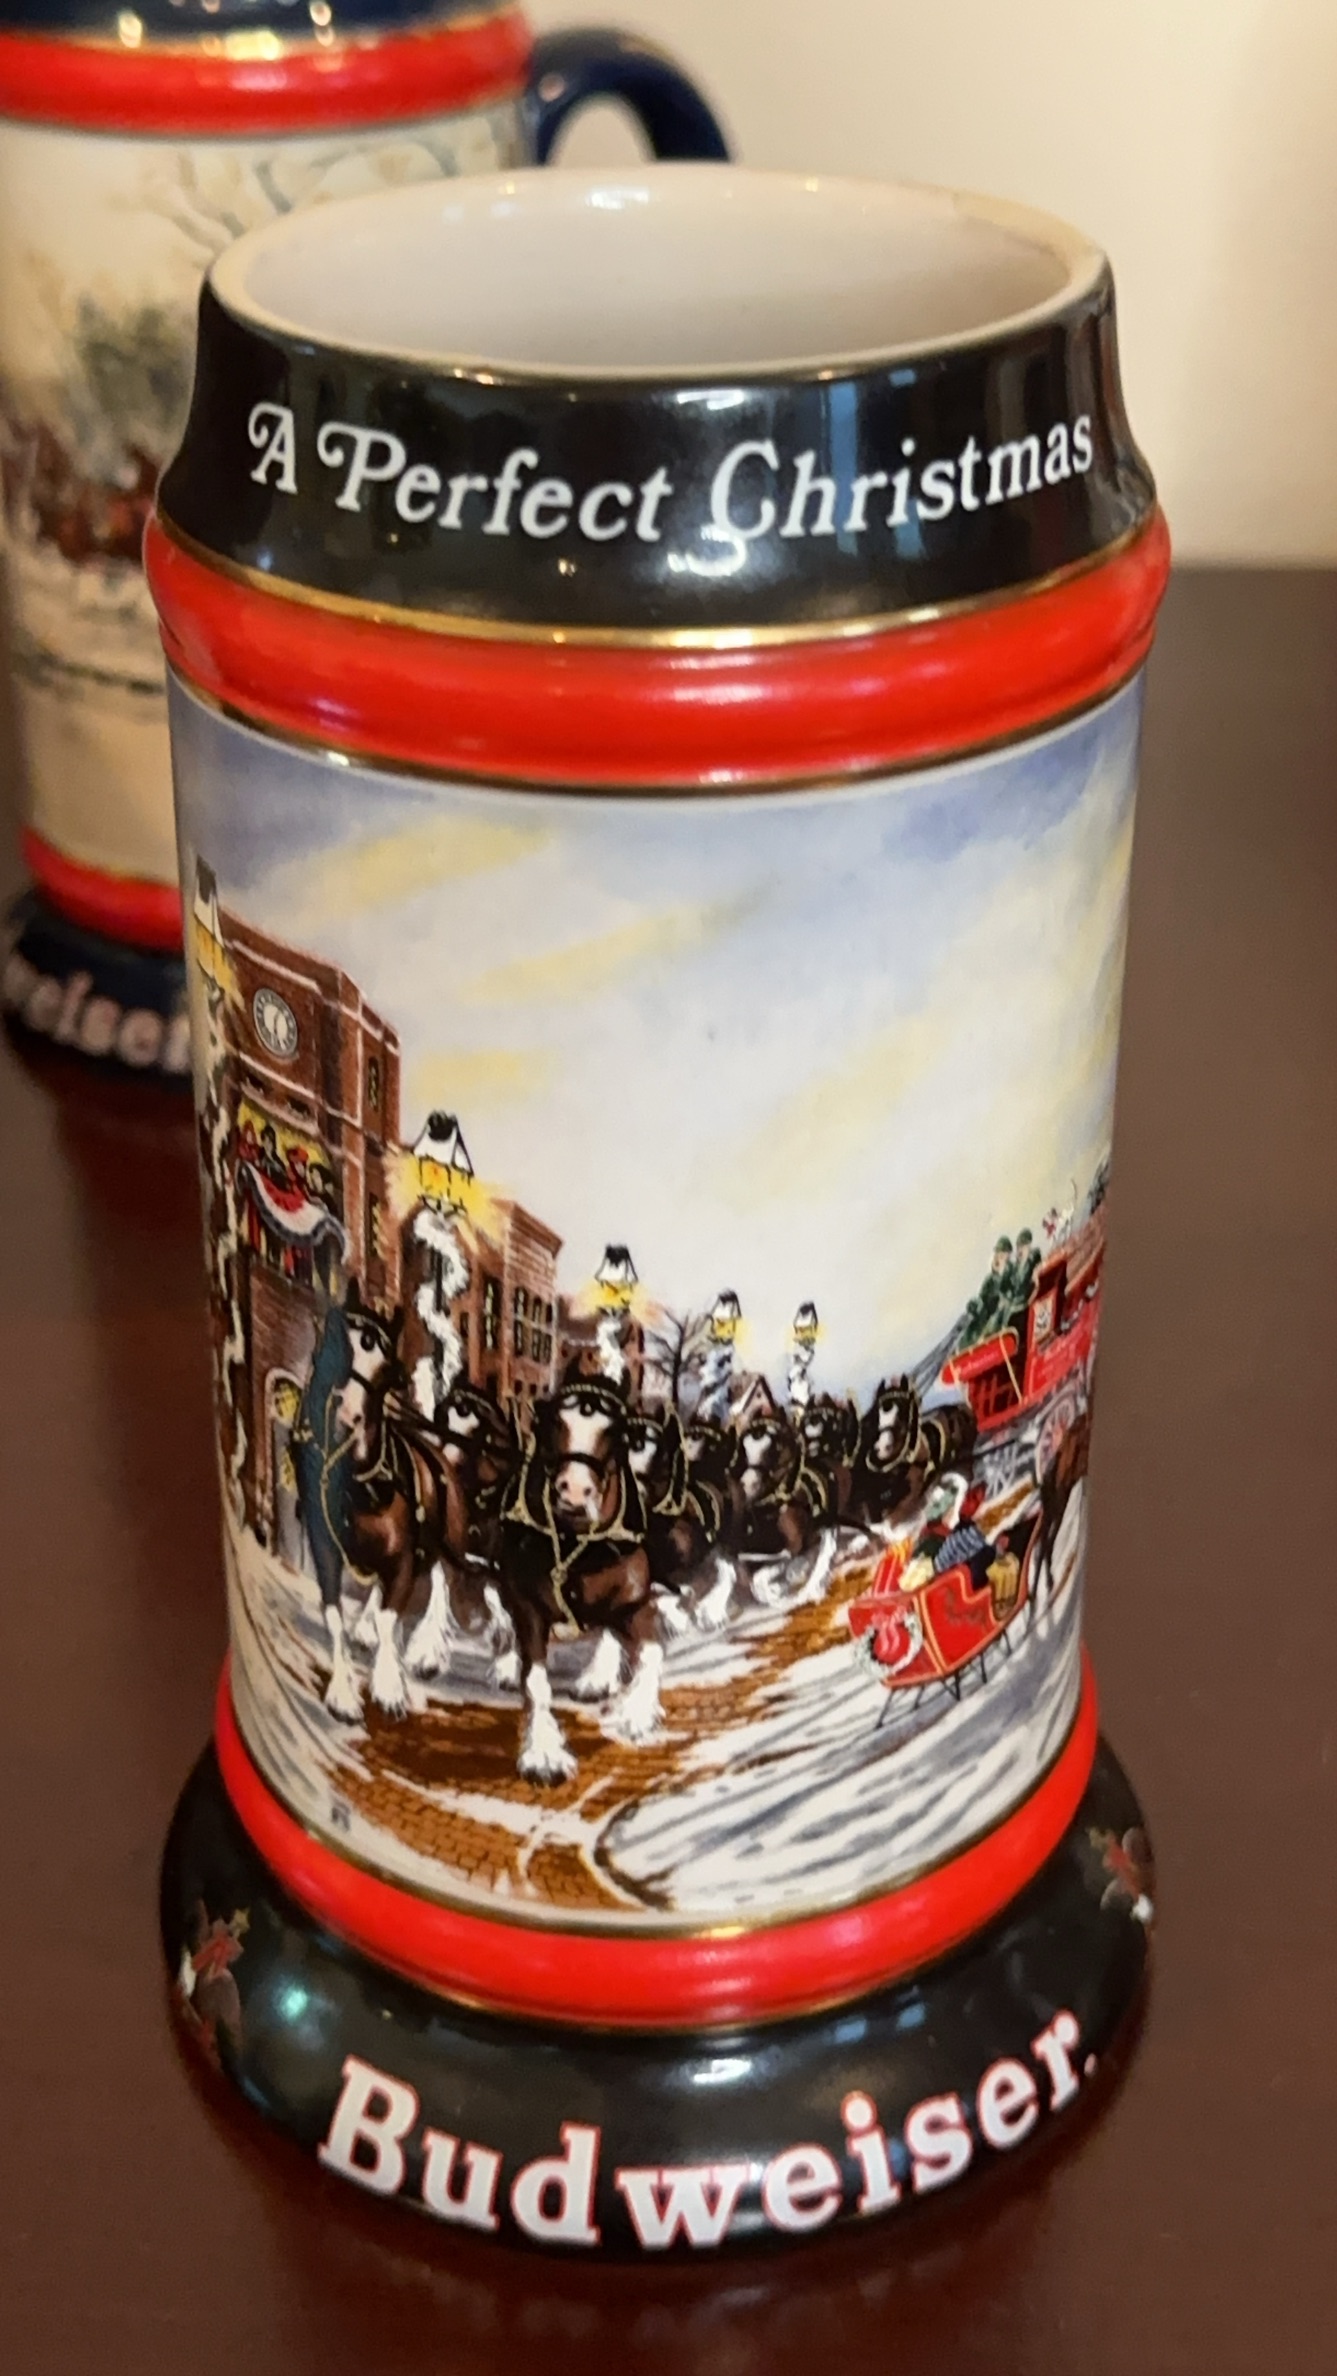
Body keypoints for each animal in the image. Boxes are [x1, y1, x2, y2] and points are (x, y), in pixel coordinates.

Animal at [497, 1379, 659, 1784]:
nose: (573, 1491)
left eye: (618, 1434)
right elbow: (535, 1680)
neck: (576, 1544)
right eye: (551, 1422)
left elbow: (652, 1653)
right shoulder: (527, 1606)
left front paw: (634, 1715)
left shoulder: (635, 1602)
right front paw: (543, 1753)